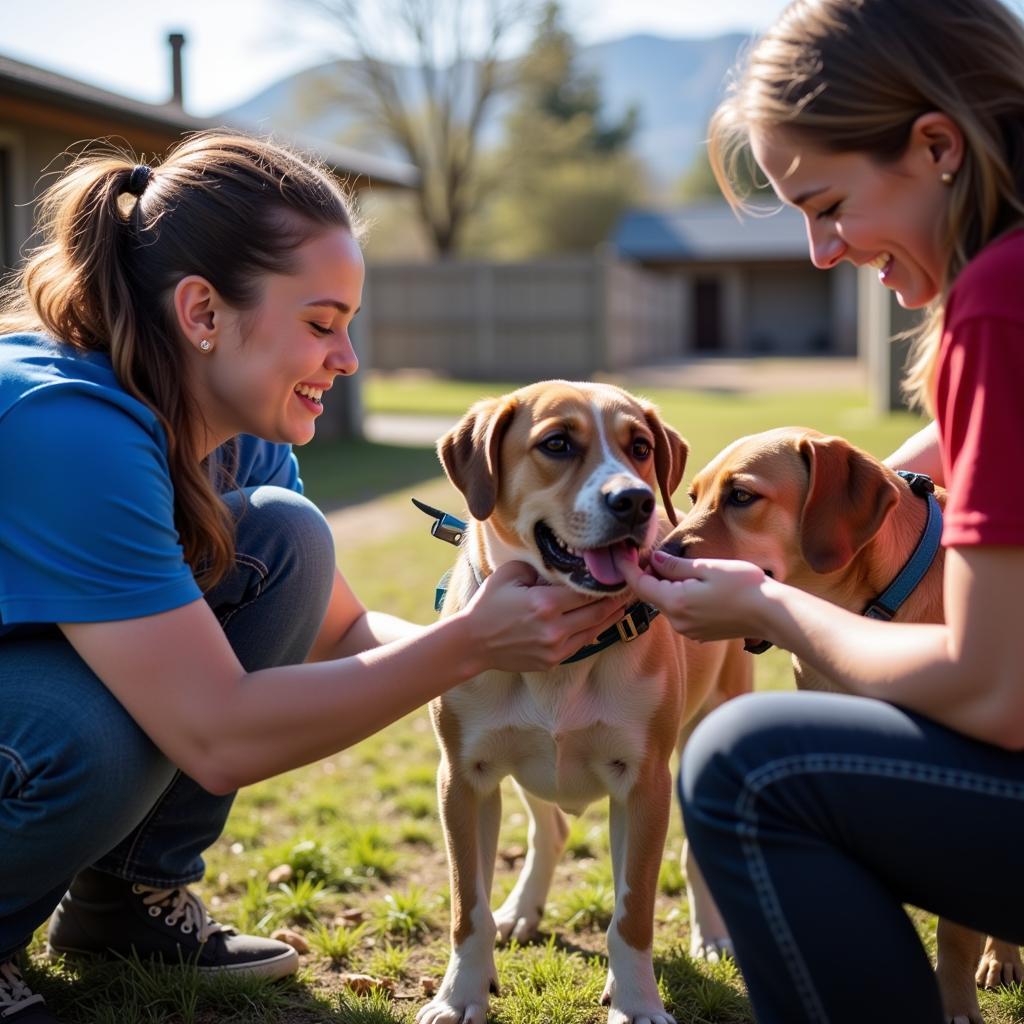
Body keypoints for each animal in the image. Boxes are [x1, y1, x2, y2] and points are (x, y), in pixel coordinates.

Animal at [415, 382, 753, 1024]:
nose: (636, 501)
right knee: (550, 830)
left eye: (640, 447)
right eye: (557, 444)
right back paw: (521, 909)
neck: (564, 658)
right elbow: (467, 907)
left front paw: (638, 1003)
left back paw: (714, 932)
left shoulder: (644, 784)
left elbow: (633, 914)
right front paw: (460, 994)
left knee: (689, 857)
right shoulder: (463, 779)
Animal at [663, 423, 1015, 1024]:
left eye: (741, 497)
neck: (868, 614)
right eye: (693, 496)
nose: (657, 554)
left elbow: (955, 931)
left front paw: (954, 1002)